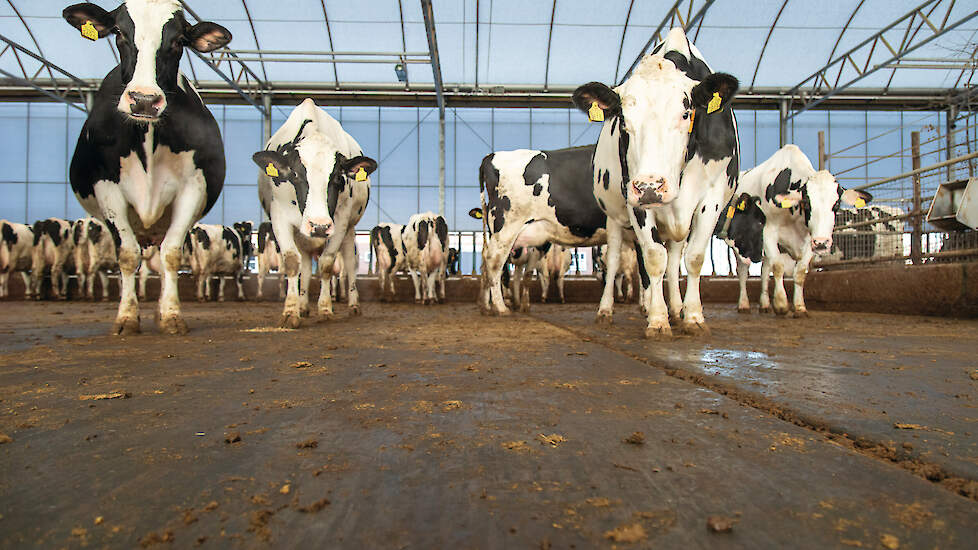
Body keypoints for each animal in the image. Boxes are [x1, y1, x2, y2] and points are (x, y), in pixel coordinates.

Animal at [64, 1, 233, 336]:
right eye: (119, 32)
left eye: (179, 40)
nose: (143, 100)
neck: (147, 137)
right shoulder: (107, 189)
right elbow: (128, 255)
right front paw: (127, 318)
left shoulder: (192, 189)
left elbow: (171, 254)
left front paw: (171, 315)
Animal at [250, 98, 376, 328]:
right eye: (295, 174)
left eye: (337, 177)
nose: (319, 226)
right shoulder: (279, 217)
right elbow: (293, 263)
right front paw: (291, 311)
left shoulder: (340, 222)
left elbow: (326, 264)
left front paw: (325, 309)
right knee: (306, 266)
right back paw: (302, 305)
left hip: (350, 230)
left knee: (350, 264)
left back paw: (353, 305)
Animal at [474, 144, 616, 316]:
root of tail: (491, 156)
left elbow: (527, 275)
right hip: (506, 230)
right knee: (494, 263)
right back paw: (501, 307)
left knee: (488, 265)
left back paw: (485, 306)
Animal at [568, 29, 736, 340]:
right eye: (623, 120)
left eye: (686, 114)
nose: (650, 186)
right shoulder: (634, 196)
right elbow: (654, 258)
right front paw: (658, 320)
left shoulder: (713, 195)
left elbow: (693, 258)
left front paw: (692, 316)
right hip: (614, 217)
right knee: (618, 262)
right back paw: (609, 310)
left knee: (674, 259)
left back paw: (676, 308)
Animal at [716, 146, 868, 320]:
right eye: (807, 203)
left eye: (836, 205)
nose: (822, 242)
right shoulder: (768, 232)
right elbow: (778, 267)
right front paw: (781, 305)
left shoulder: (810, 239)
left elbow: (800, 271)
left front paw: (800, 307)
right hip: (742, 245)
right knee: (743, 271)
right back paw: (744, 304)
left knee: (764, 270)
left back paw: (764, 304)